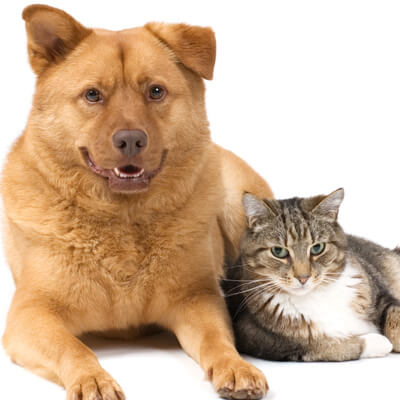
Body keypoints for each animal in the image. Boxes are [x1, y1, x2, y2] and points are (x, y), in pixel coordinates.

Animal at [1, 3, 274, 400]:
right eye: (93, 95)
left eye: (156, 91)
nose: (130, 139)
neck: (122, 217)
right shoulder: (30, 313)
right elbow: (74, 347)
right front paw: (92, 378)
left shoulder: (197, 299)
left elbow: (216, 341)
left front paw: (235, 365)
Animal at [222, 189, 400, 360]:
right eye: (278, 251)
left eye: (317, 248)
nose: (303, 277)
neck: (317, 294)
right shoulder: (259, 336)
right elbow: (326, 346)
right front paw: (376, 342)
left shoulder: (378, 292)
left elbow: (393, 316)